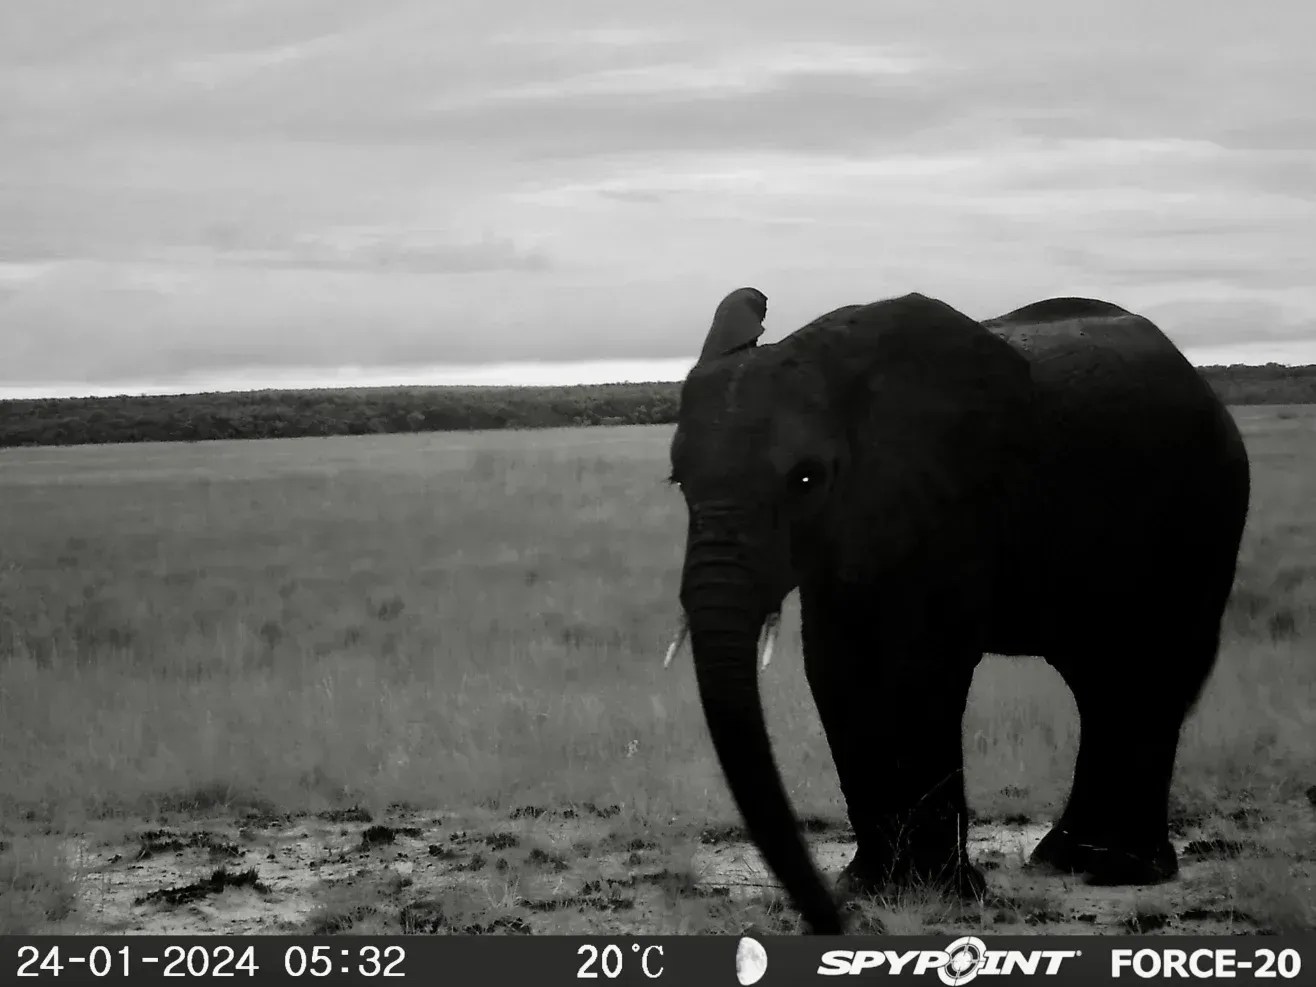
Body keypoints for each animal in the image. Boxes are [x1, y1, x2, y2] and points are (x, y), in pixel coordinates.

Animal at [666, 287, 1251, 934]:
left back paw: (1116, 870)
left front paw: (938, 894)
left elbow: (918, 667)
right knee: (1103, 677)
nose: (830, 919)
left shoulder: (951, 501)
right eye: (679, 481)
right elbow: (837, 668)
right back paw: (1067, 861)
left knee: (1148, 670)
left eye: (806, 479)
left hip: (1201, 517)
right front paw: (872, 888)